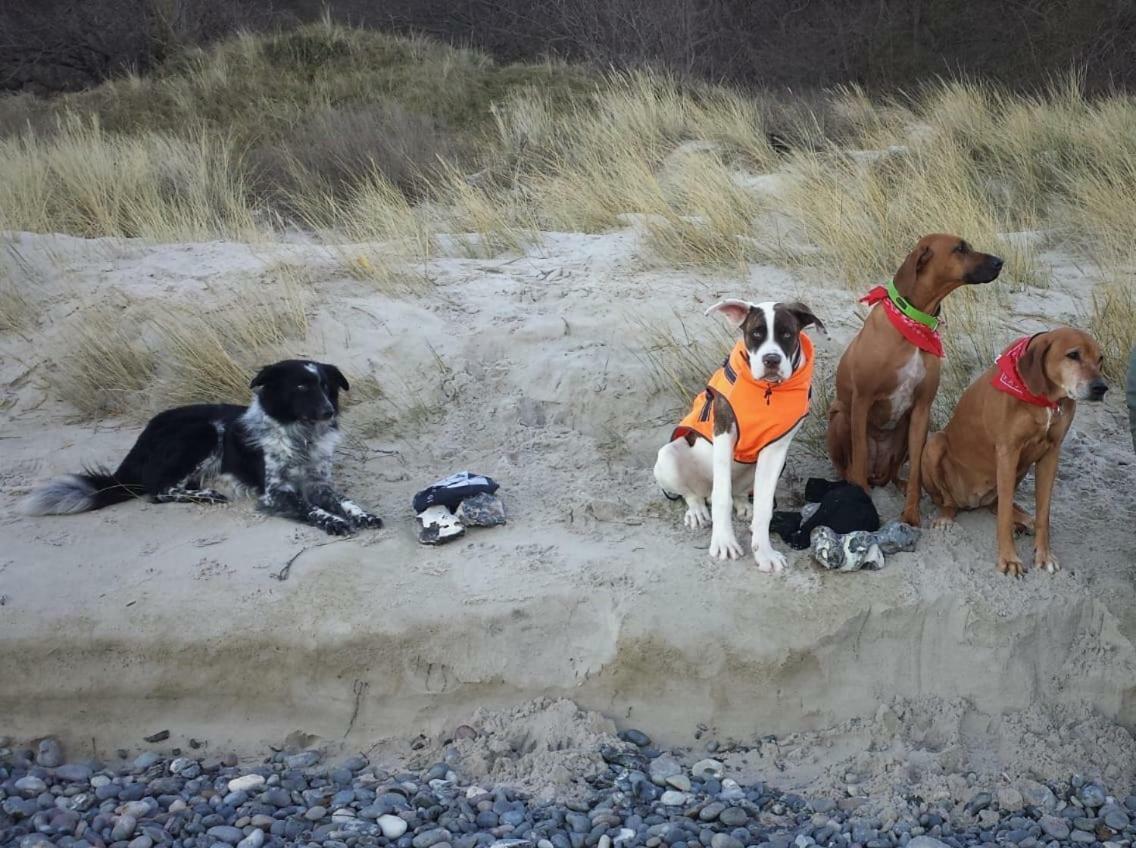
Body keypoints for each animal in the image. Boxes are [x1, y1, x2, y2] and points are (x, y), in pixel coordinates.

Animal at [21, 359, 381, 534]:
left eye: (325, 386)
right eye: (301, 387)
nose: (329, 411)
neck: (300, 435)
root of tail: (143, 437)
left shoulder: (320, 482)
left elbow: (344, 500)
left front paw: (361, 514)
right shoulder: (274, 492)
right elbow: (309, 508)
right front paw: (332, 521)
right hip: (202, 432)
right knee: (159, 491)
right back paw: (207, 495)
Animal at [654, 300, 822, 570]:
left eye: (787, 334)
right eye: (756, 333)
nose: (771, 360)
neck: (767, 391)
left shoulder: (776, 450)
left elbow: (764, 506)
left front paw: (764, 553)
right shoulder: (724, 431)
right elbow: (722, 497)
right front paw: (724, 542)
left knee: (739, 493)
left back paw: (745, 507)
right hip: (668, 456)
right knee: (694, 494)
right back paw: (697, 511)